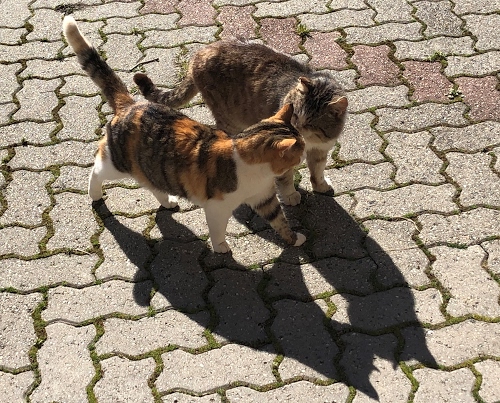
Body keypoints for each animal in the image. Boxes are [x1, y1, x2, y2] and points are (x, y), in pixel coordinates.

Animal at [62, 16, 306, 253]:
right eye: (300, 148)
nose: (305, 155)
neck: (255, 173)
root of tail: (131, 104)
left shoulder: (265, 198)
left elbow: (280, 221)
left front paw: (294, 239)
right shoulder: (217, 208)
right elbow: (218, 230)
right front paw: (221, 248)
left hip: (153, 168)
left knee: (151, 182)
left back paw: (166, 201)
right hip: (117, 164)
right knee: (97, 168)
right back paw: (94, 192)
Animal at [134, 38, 348, 206]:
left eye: (310, 123)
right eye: (295, 115)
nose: (293, 128)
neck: (311, 142)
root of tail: (200, 52)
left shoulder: (321, 150)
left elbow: (317, 171)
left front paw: (320, 186)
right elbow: (286, 179)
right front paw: (290, 196)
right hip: (229, 118)